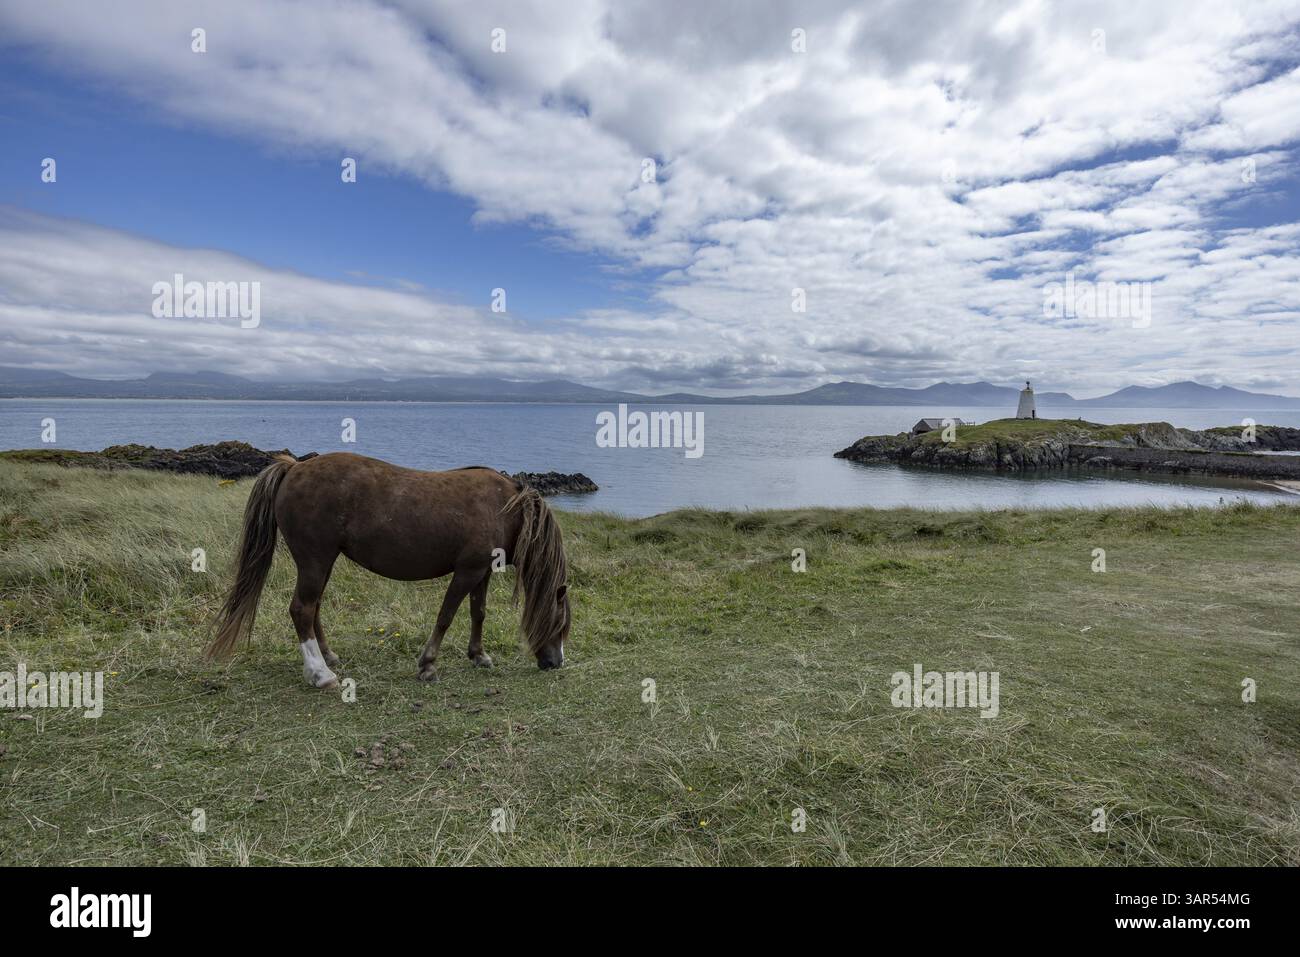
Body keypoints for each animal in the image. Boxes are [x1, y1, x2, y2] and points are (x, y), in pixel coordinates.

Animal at [204, 452, 570, 687]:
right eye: (560, 623)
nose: (555, 663)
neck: (504, 508)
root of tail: (294, 468)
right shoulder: (467, 571)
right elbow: (446, 616)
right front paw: (428, 665)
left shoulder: (481, 572)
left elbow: (477, 613)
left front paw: (478, 656)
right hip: (314, 559)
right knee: (301, 609)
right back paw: (320, 674)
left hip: (322, 562)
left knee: (313, 607)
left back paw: (328, 657)